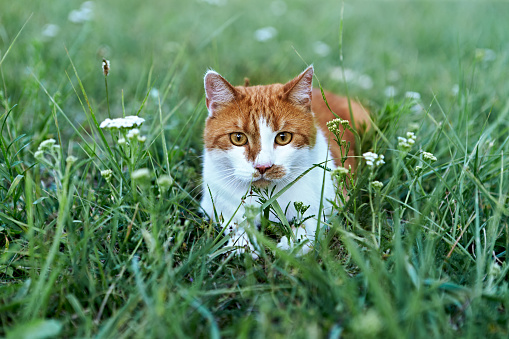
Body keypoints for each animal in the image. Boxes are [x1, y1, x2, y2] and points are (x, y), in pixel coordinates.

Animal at [199, 66, 370, 258]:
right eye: (238, 138)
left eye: (283, 137)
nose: (263, 166)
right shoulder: (212, 204)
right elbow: (234, 222)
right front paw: (243, 243)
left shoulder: (333, 200)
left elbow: (315, 222)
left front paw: (294, 242)